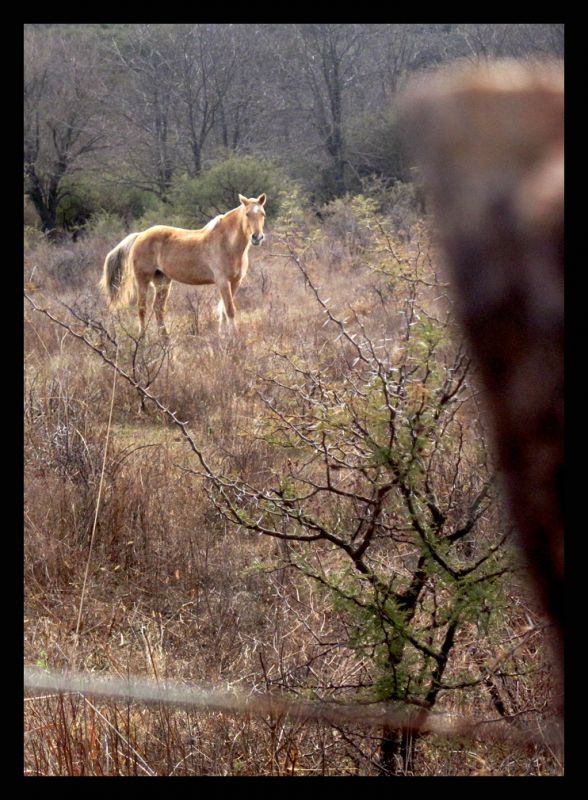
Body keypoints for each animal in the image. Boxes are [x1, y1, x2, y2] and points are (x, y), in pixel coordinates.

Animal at [100, 195, 268, 338]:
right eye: (247, 214)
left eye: (263, 214)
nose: (257, 237)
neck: (226, 243)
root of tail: (140, 235)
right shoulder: (222, 281)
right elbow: (229, 310)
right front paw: (234, 339)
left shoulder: (235, 281)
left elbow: (223, 310)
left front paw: (224, 336)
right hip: (143, 280)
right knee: (142, 308)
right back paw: (142, 340)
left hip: (162, 281)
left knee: (158, 308)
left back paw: (165, 340)